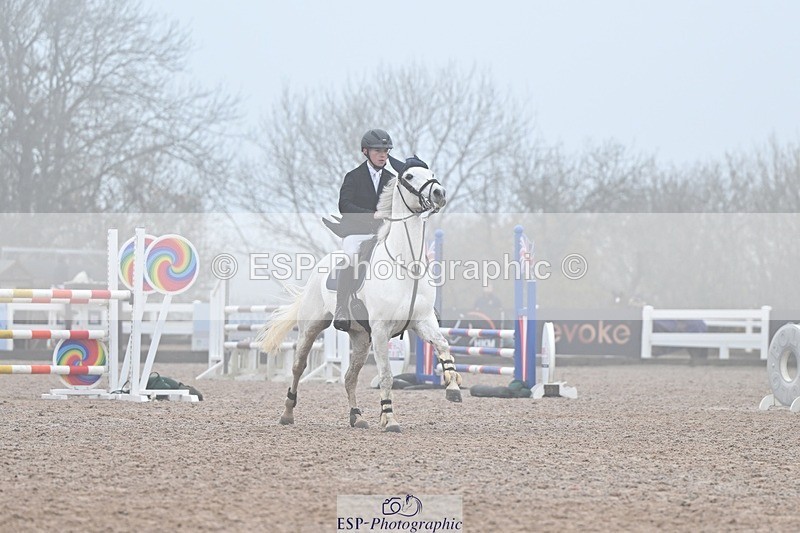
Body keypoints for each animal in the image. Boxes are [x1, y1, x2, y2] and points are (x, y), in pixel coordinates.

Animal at [257, 161, 462, 432]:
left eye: (431, 174)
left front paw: (453, 386)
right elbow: (386, 374)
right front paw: (390, 419)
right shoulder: (382, 330)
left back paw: (357, 416)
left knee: (349, 376)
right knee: (298, 367)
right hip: (311, 328)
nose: (439, 193)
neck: (408, 265)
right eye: (408, 176)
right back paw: (287, 413)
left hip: (362, 339)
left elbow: (443, 345)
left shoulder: (422, 321)